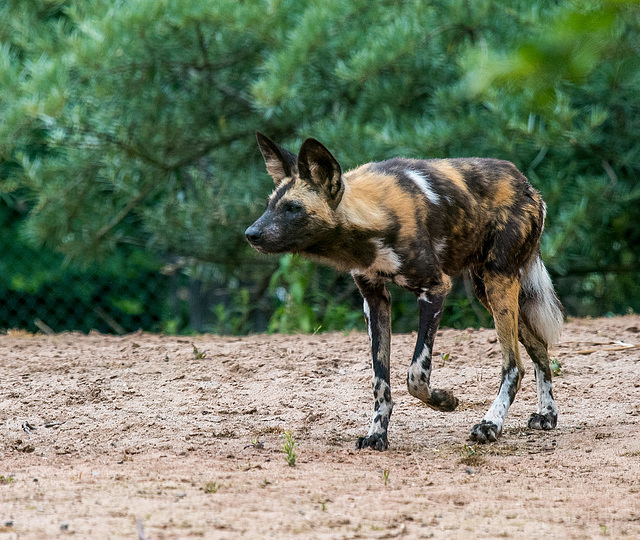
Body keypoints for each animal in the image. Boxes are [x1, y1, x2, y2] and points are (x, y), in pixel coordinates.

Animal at [248, 133, 564, 450]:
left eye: (293, 208)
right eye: (269, 205)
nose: (251, 234)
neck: (370, 221)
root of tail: (525, 183)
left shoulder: (434, 289)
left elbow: (416, 375)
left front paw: (444, 401)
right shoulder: (374, 300)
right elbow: (380, 382)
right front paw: (377, 434)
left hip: (498, 281)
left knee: (513, 366)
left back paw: (491, 424)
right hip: (485, 291)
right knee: (539, 346)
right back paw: (546, 413)